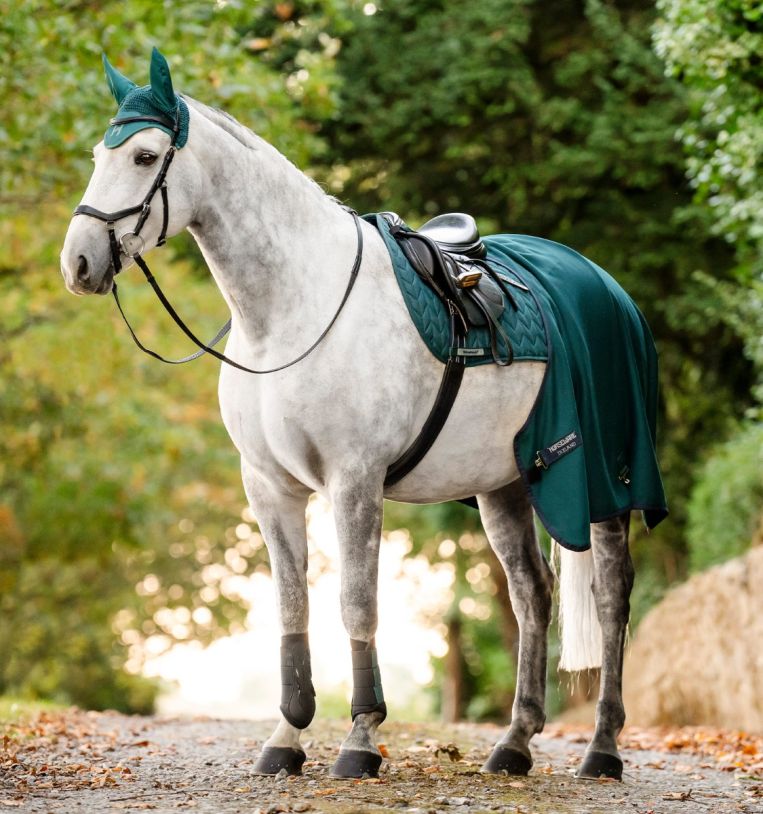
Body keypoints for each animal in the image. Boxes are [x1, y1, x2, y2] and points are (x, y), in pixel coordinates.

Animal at [61, 49, 648, 782]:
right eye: (97, 153)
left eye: (144, 156)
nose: (79, 262)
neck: (291, 311)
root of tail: (604, 284)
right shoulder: (269, 487)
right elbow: (292, 605)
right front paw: (286, 736)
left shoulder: (354, 480)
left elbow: (356, 603)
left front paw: (360, 740)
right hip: (503, 485)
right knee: (531, 594)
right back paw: (514, 743)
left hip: (604, 482)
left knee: (611, 596)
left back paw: (602, 749)